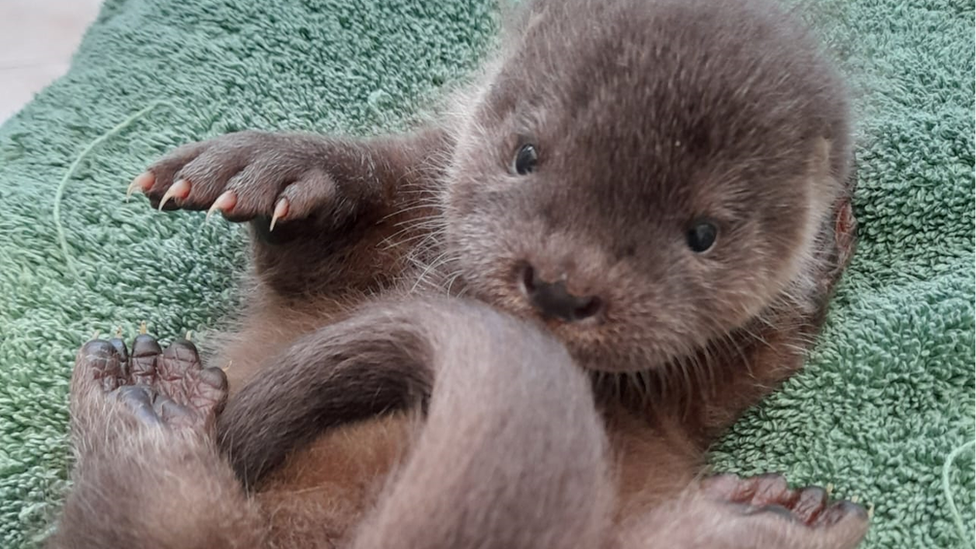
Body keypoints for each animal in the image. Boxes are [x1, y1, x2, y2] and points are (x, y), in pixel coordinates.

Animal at [49, 0, 864, 544]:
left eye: (702, 234)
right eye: (526, 154)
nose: (560, 286)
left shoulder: (711, 379)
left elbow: (763, 355)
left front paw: (828, 242)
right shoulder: (409, 192)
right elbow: (306, 256)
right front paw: (269, 166)